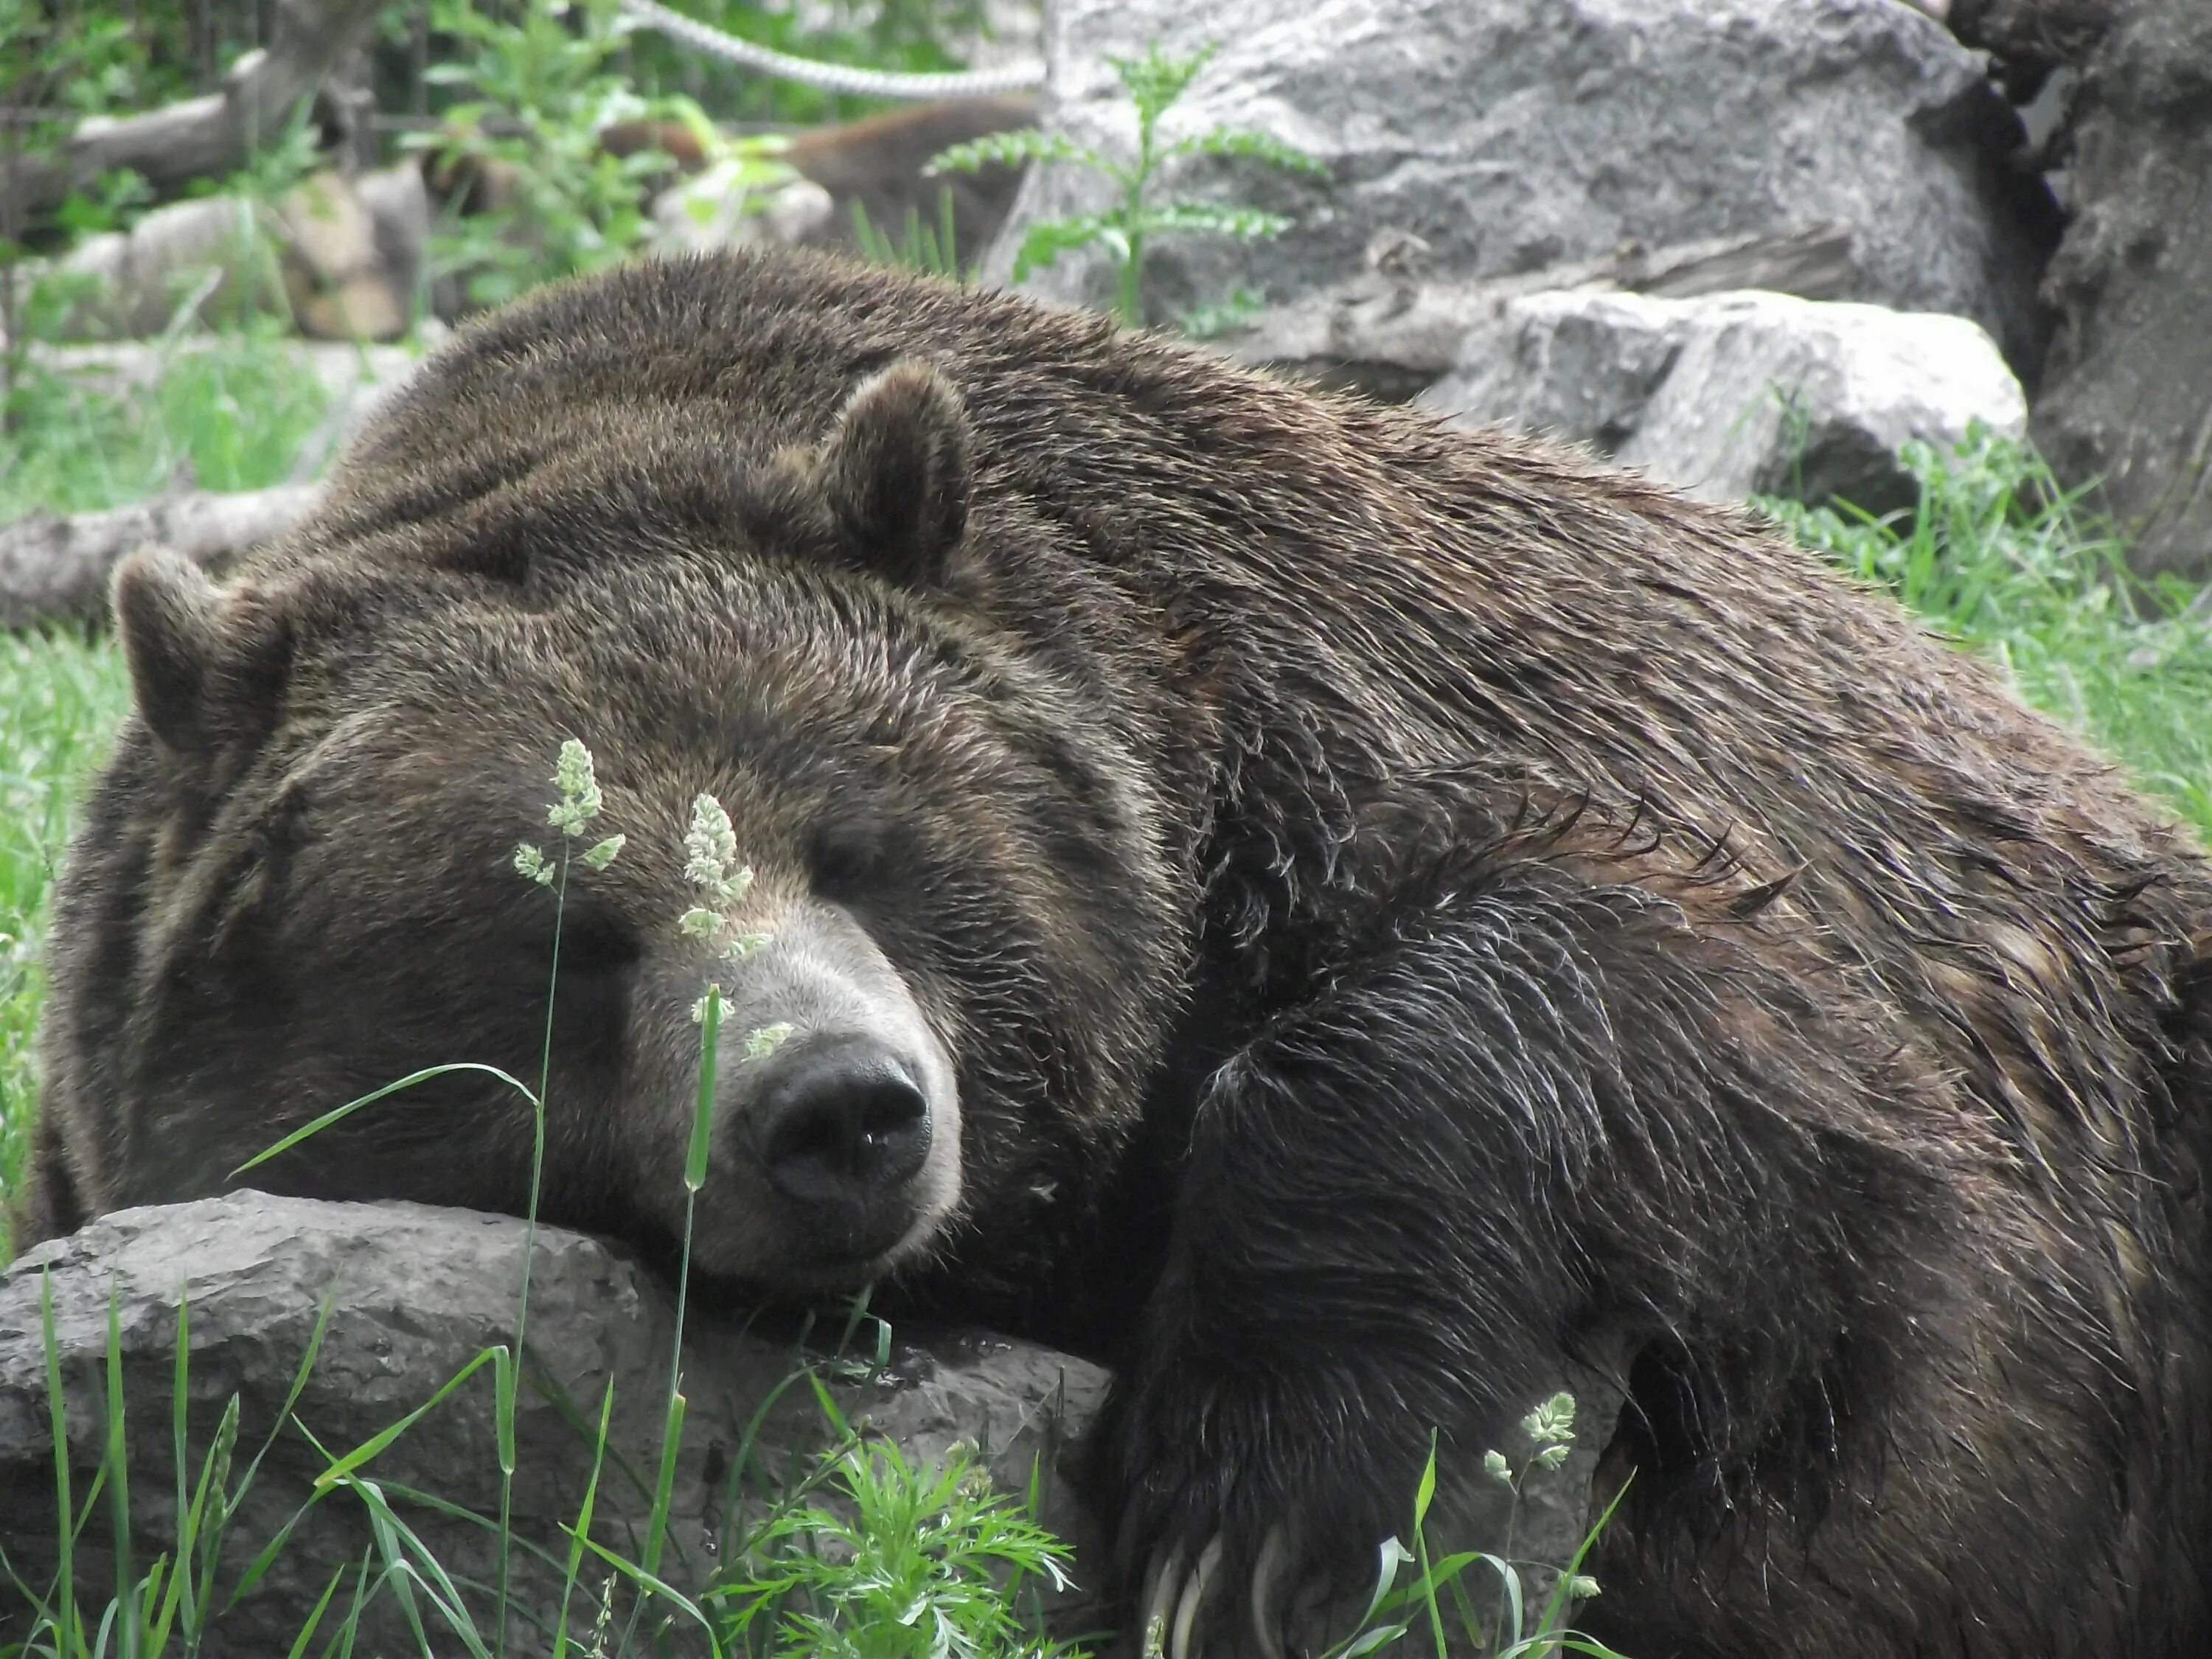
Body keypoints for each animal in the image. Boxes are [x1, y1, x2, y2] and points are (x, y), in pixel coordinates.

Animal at [17, 250, 2212, 1659]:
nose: (844, 1110)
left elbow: (1674, 1015)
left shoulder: (1415, 745)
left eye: (862, 843)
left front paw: (1257, 1521)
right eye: (567, 923)